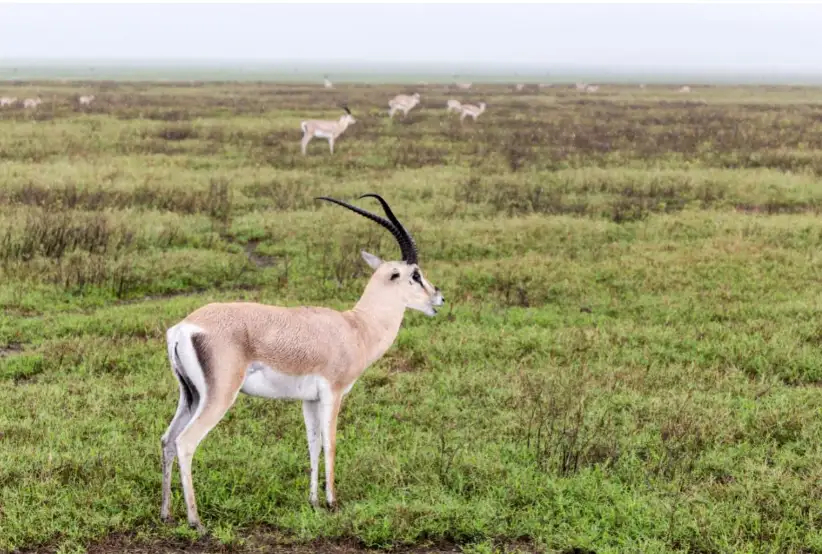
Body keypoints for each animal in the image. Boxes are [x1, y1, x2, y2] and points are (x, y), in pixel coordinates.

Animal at [160, 193, 445, 531]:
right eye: (415, 275)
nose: (439, 298)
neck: (356, 328)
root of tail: (184, 327)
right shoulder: (334, 393)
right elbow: (331, 443)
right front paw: (333, 502)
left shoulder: (309, 400)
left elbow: (313, 443)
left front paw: (313, 502)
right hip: (219, 397)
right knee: (186, 442)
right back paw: (196, 521)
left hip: (190, 396)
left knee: (167, 439)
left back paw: (166, 514)